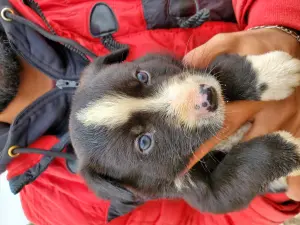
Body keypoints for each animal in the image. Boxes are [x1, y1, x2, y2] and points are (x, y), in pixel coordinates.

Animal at [69, 48, 300, 217]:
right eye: (144, 142)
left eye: (142, 75)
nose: (209, 96)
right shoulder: (204, 194)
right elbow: (243, 168)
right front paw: (288, 149)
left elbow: (219, 71)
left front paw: (271, 73)